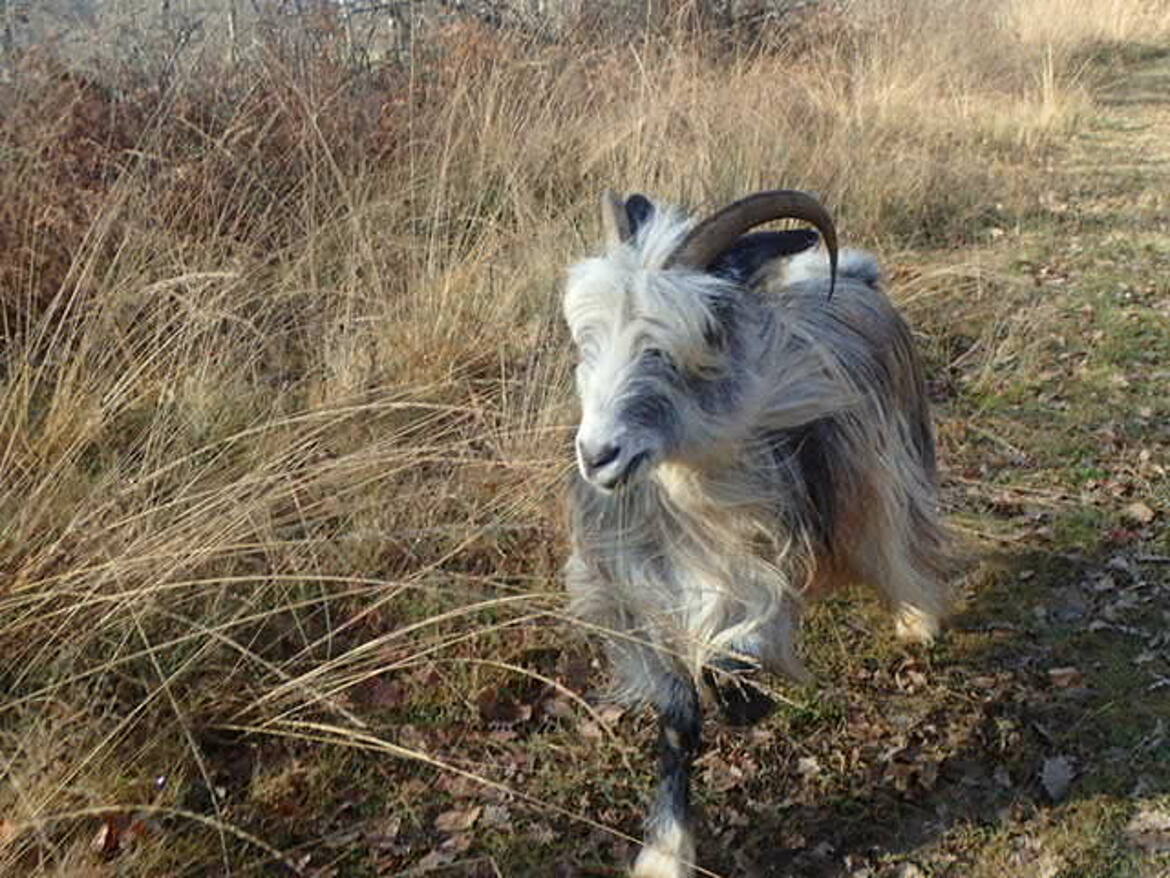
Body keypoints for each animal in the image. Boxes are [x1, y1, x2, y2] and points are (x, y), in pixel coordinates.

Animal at [559, 190, 950, 878]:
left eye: (685, 345)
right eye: (587, 341)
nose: (599, 455)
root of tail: (856, 275)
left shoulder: (774, 558)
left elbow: (738, 650)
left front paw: (747, 695)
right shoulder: (636, 593)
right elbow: (678, 716)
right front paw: (665, 852)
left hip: (895, 461)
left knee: (899, 538)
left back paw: (916, 617)